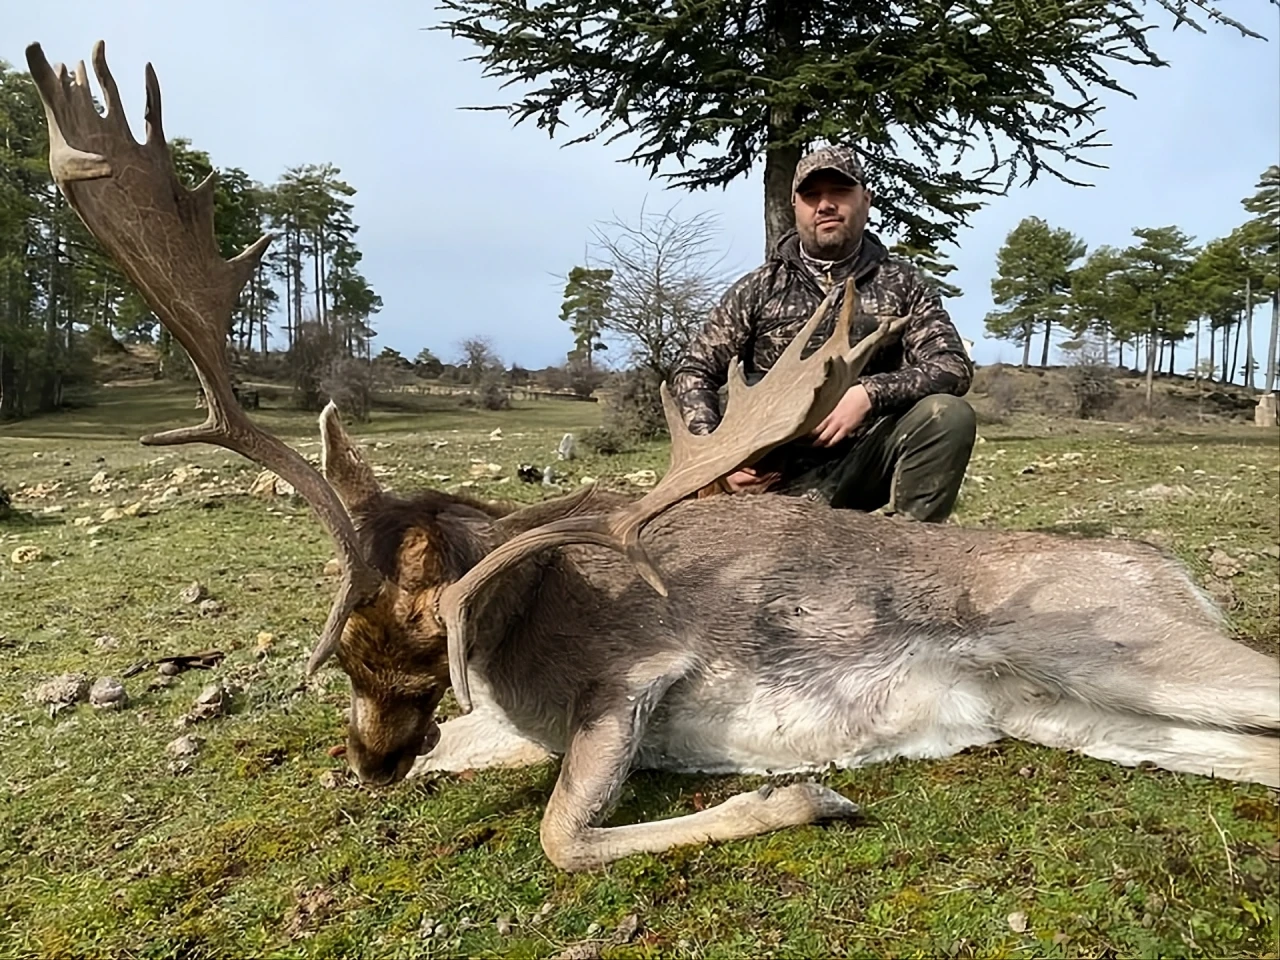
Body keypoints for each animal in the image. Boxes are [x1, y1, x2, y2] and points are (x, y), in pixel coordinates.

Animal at [27, 40, 1279, 874]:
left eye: (440, 661)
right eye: (343, 657)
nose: (373, 762)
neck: (523, 634)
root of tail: (1176, 573)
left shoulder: (634, 670)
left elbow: (558, 834)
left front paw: (805, 800)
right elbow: (479, 777)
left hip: (1103, 644)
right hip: (1065, 709)